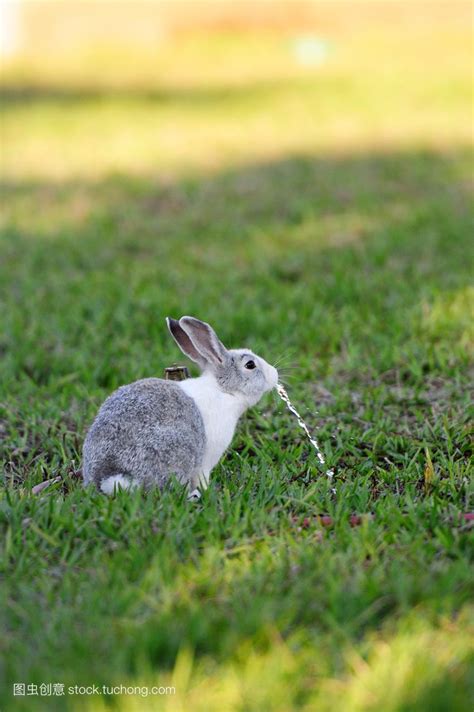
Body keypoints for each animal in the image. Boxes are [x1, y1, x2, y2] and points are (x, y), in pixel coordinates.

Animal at [83, 314, 280, 498]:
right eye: (250, 364)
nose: (275, 374)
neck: (224, 390)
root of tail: (111, 476)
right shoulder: (206, 460)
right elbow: (202, 477)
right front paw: (207, 490)